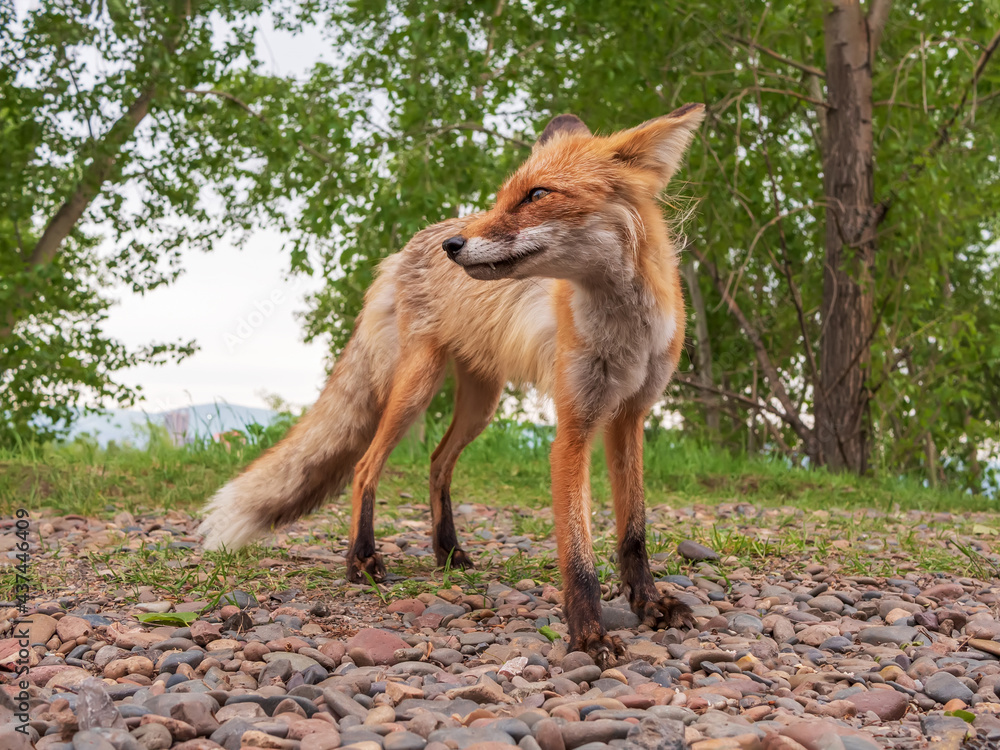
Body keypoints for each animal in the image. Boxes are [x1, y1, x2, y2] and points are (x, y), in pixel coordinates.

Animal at [199, 104, 708, 664]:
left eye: (537, 195)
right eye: (503, 196)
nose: (454, 246)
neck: (624, 334)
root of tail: (407, 246)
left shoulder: (629, 416)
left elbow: (633, 534)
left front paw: (650, 605)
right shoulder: (573, 424)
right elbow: (578, 553)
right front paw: (589, 634)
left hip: (481, 402)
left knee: (437, 460)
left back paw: (447, 551)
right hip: (416, 386)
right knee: (365, 465)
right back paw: (362, 562)